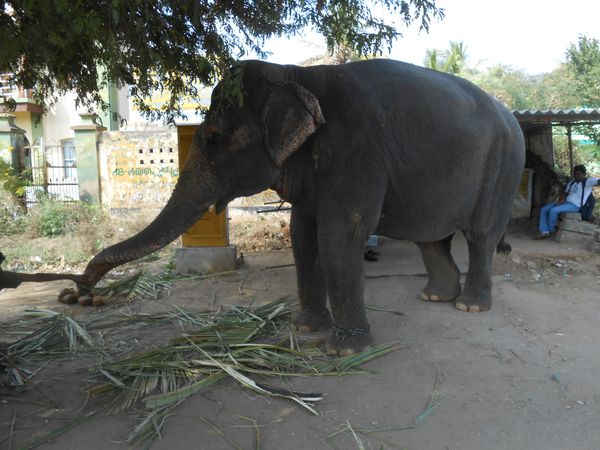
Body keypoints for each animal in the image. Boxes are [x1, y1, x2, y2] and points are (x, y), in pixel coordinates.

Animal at [0, 59, 524, 356]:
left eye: (213, 138)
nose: (77, 293)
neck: (299, 77)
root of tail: (513, 116)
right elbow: (302, 231)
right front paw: (305, 329)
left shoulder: (358, 148)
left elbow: (341, 232)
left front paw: (344, 352)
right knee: (432, 238)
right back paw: (436, 297)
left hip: (503, 166)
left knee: (480, 235)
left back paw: (471, 306)